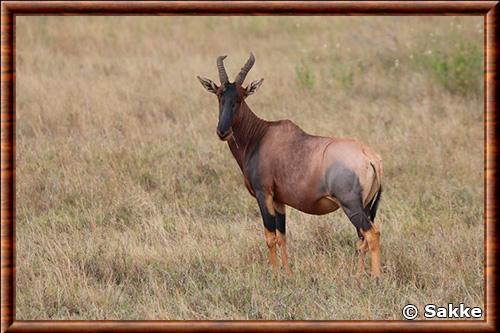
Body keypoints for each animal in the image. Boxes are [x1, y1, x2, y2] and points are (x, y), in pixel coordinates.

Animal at [198, 53, 382, 276]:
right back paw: (358, 275)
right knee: (362, 238)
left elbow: (269, 236)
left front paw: (274, 274)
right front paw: (287, 273)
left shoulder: (264, 193)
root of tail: (370, 156)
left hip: (351, 205)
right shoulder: (279, 200)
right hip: (365, 205)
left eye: (240, 98)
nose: (222, 131)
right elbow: (282, 237)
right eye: (219, 96)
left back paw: (375, 277)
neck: (260, 136)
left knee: (371, 234)